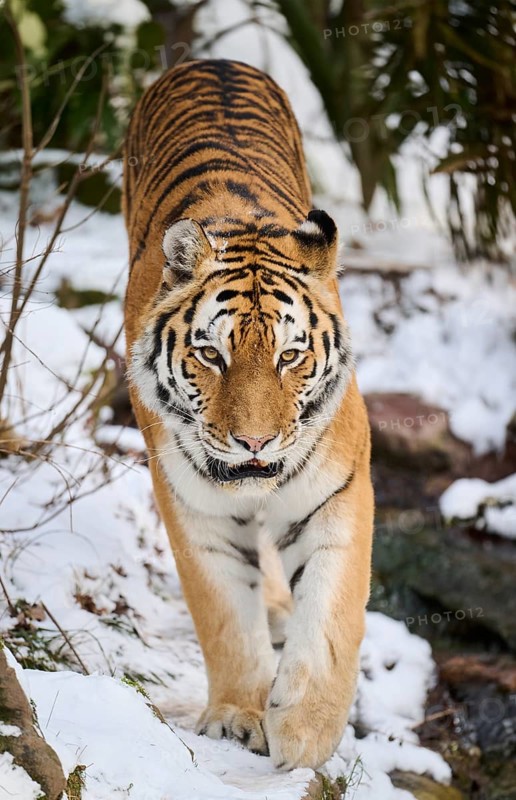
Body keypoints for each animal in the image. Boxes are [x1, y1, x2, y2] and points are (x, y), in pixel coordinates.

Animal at [123, 58, 374, 770]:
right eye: (211, 354)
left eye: (291, 355)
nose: (254, 443)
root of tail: (212, 61)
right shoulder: (192, 503)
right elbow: (225, 614)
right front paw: (240, 716)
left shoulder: (340, 490)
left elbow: (335, 613)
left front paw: (307, 730)